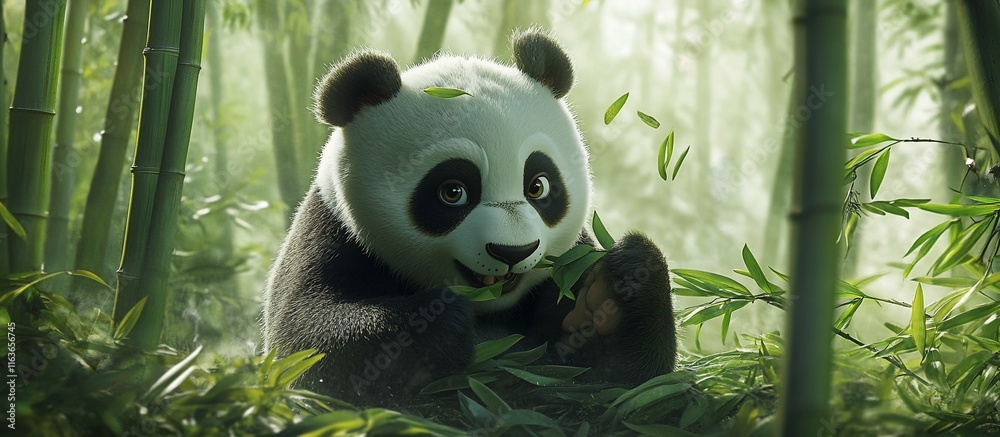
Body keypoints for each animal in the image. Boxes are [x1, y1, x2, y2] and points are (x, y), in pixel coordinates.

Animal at [262, 29, 676, 405]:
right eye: (453, 192)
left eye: (538, 186)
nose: (512, 251)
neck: (491, 308)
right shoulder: (332, 235)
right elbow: (305, 341)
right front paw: (437, 323)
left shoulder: (569, 262)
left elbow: (621, 380)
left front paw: (608, 296)